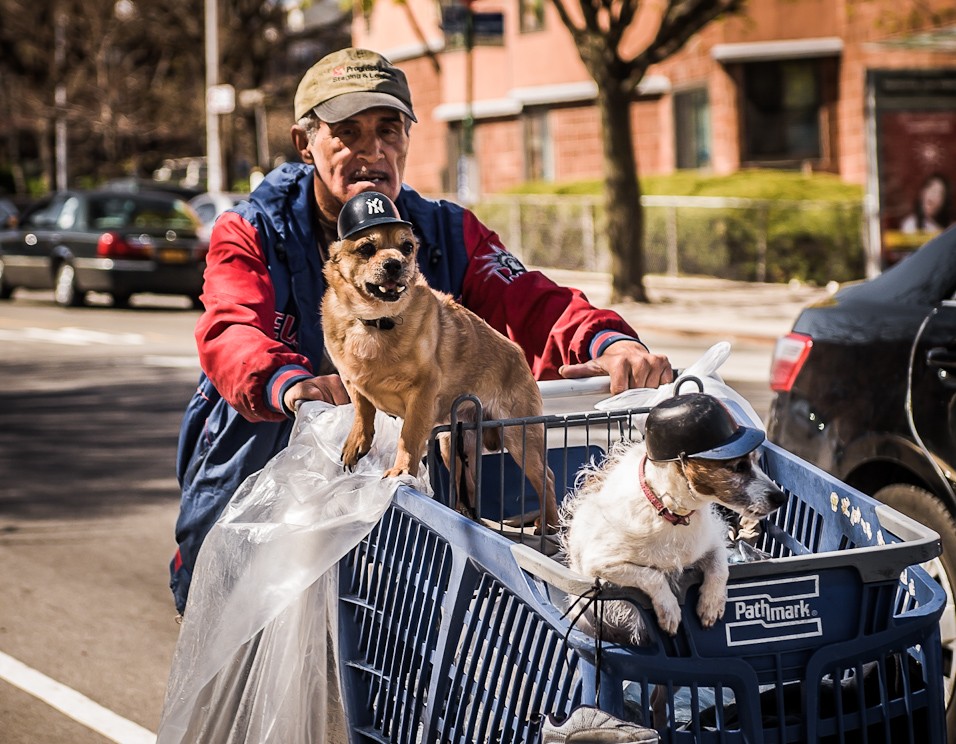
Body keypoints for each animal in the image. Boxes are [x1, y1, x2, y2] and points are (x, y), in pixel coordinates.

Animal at [324, 192, 560, 528]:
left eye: (407, 247)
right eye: (366, 249)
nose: (395, 263)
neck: (376, 322)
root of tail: (519, 354)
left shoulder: (422, 393)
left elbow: (408, 437)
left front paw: (401, 470)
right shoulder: (351, 380)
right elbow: (362, 409)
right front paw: (357, 441)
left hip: (520, 436)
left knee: (547, 479)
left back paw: (549, 525)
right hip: (453, 445)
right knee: (469, 488)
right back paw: (469, 516)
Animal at [560, 392, 784, 644]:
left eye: (756, 461)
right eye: (738, 466)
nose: (782, 497)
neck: (672, 513)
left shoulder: (712, 543)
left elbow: (720, 566)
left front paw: (711, 603)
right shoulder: (600, 564)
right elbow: (652, 574)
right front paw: (669, 610)